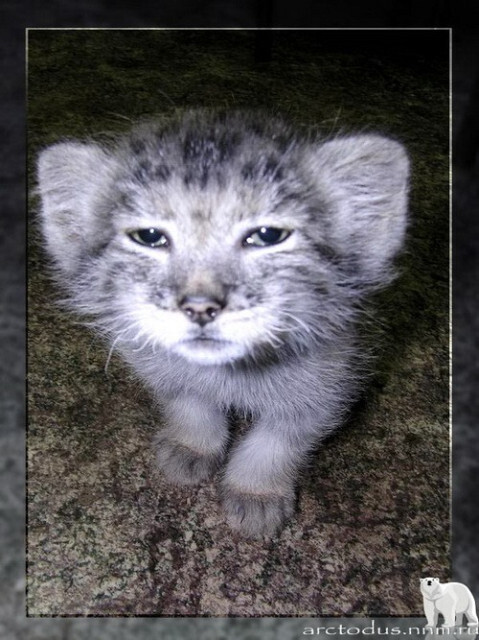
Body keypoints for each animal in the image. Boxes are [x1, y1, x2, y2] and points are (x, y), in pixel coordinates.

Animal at [37, 109, 410, 536]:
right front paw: (192, 444)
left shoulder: (330, 382)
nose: (200, 307)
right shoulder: (159, 367)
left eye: (268, 235)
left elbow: (279, 440)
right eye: (148, 236)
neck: (231, 375)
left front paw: (256, 491)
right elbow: (190, 403)